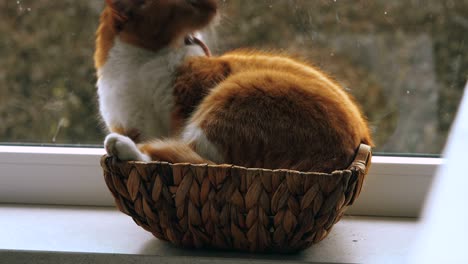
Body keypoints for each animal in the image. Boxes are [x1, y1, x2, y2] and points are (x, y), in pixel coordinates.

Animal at [95, 0, 372, 173]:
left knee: (187, 158)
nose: (215, 4)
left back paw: (122, 147)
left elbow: (174, 154)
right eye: (190, 2)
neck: (138, 64)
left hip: (229, 102)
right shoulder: (132, 124)